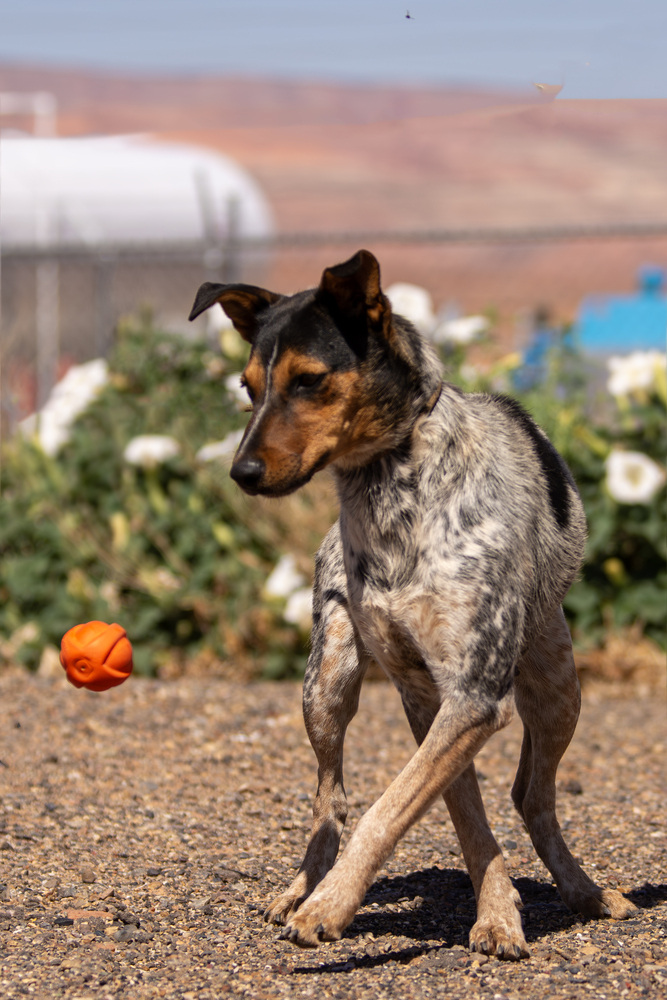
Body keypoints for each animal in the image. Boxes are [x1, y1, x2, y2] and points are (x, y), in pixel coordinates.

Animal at [188, 248, 636, 952]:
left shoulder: (473, 697)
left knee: (532, 796)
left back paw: (585, 891)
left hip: (559, 688)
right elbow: (445, 812)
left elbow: (396, 807)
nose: (242, 474)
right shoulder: (425, 696)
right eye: (247, 386)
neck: (386, 489)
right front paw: (491, 910)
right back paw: (300, 888)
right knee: (330, 799)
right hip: (326, 683)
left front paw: (334, 908)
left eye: (310, 380)